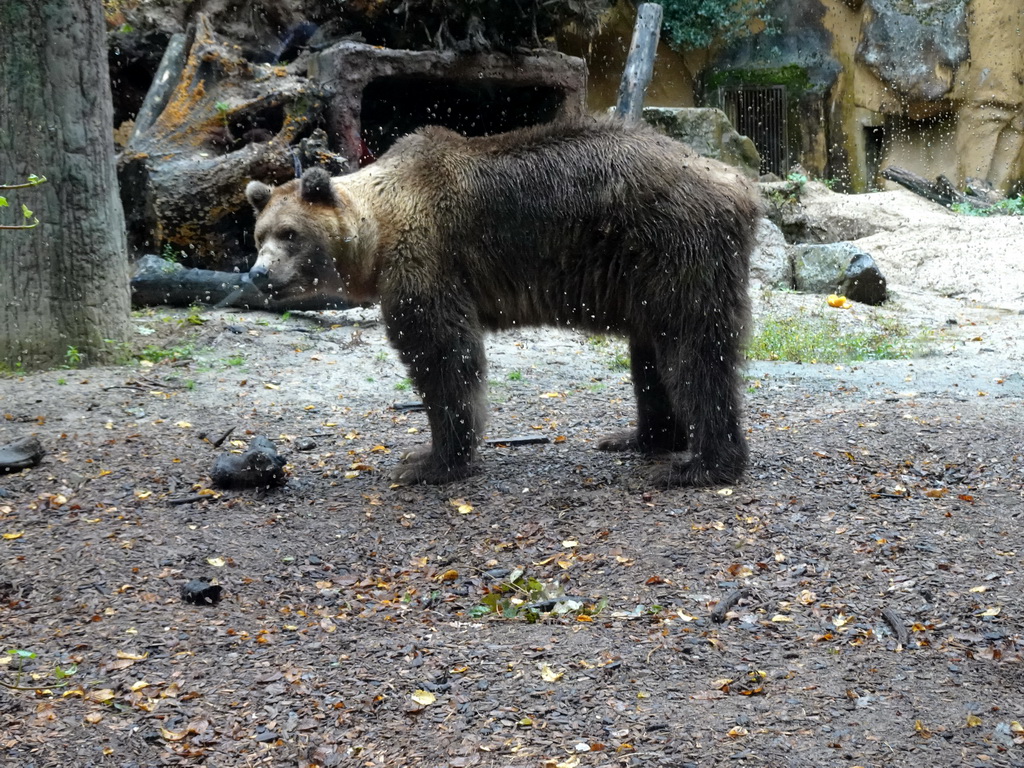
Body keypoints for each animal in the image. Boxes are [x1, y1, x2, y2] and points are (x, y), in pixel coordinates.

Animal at [245, 114, 761, 487]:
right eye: (259, 235)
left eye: (290, 234)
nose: (258, 274)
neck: (379, 231)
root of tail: (739, 182)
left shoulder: (428, 260)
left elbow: (444, 357)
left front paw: (428, 460)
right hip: (647, 274)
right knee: (652, 353)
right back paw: (638, 438)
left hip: (675, 247)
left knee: (694, 351)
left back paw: (700, 465)